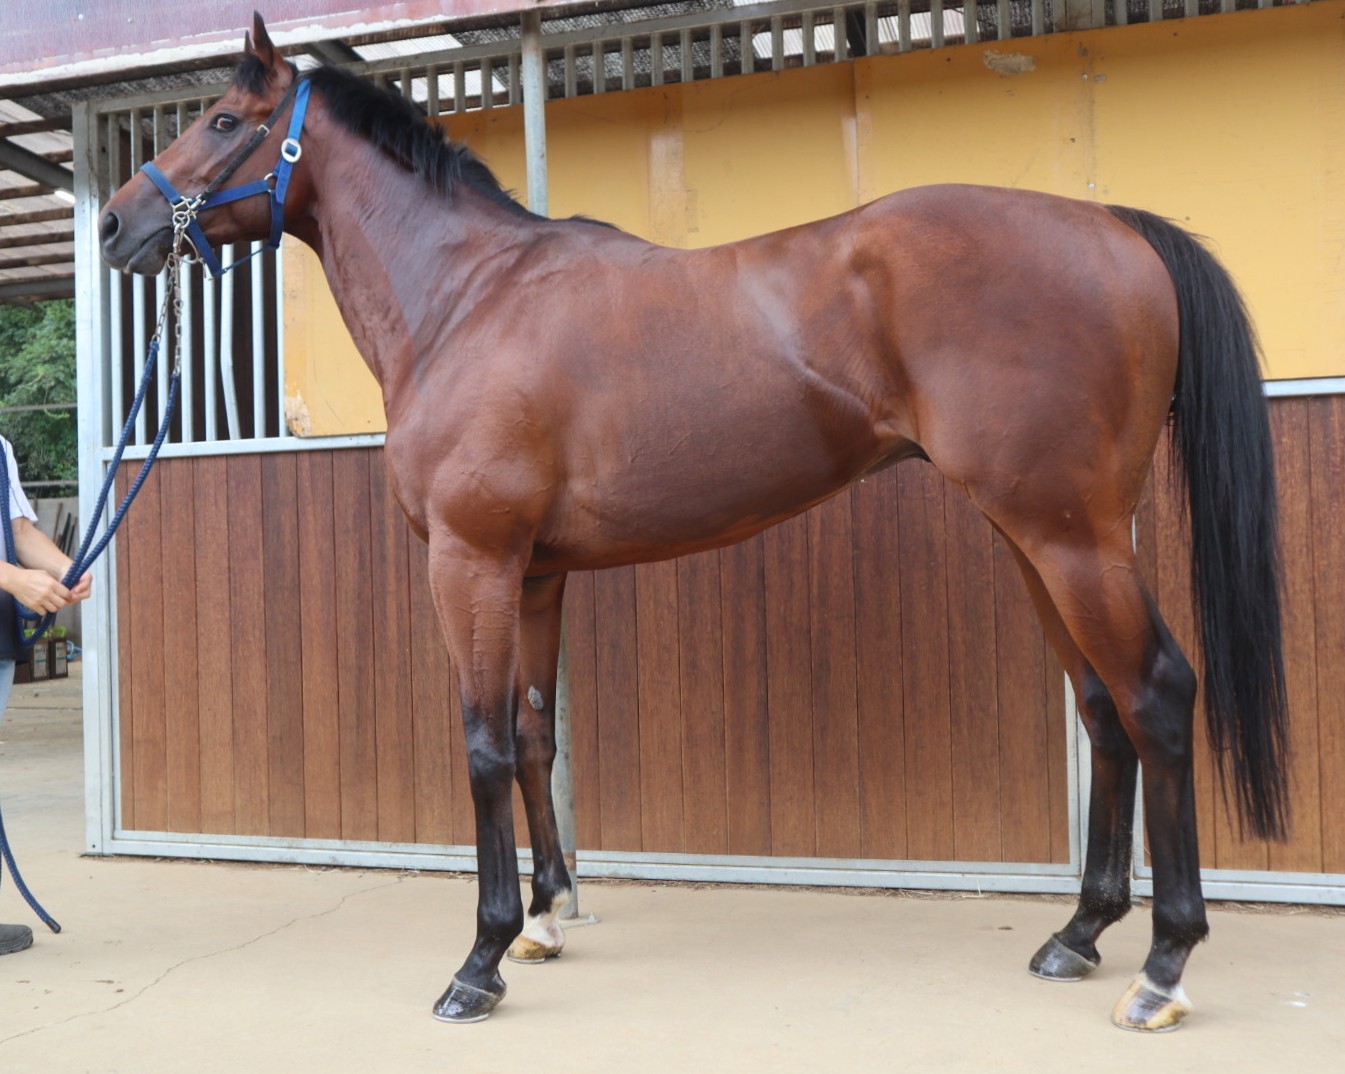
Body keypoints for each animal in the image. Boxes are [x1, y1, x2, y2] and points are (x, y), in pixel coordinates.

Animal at [98, 14, 1288, 1031]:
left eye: (222, 120)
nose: (116, 224)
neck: (469, 299)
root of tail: (1112, 225)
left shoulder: (471, 563)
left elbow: (481, 744)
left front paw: (478, 962)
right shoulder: (535, 573)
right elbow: (533, 733)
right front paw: (543, 921)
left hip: (1070, 536)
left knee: (1157, 693)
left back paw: (1161, 967)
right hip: (1034, 536)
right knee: (1100, 708)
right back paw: (1077, 934)